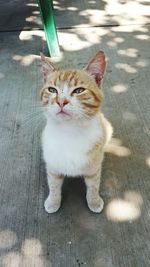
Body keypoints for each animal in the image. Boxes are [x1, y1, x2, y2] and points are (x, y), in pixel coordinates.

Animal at [39, 51, 112, 215]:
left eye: (79, 90)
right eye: (52, 90)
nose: (61, 101)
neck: (70, 130)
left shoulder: (93, 168)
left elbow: (93, 186)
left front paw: (94, 201)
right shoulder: (53, 166)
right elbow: (53, 185)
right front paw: (53, 201)